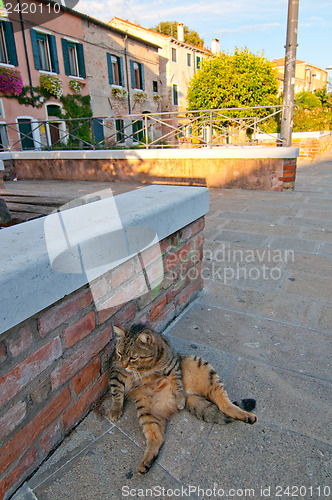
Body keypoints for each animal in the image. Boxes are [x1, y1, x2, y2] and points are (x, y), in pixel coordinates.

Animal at [109, 322, 256, 474]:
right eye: (119, 353)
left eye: (133, 357)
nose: (123, 364)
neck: (146, 367)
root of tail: (190, 395)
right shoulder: (115, 372)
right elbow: (116, 392)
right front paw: (115, 409)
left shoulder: (172, 363)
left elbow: (177, 381)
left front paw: (179, 397)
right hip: (146, 410)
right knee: (157, 437)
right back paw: (147, 461)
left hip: (202, 366)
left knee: (224, 403)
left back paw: (245, 415)